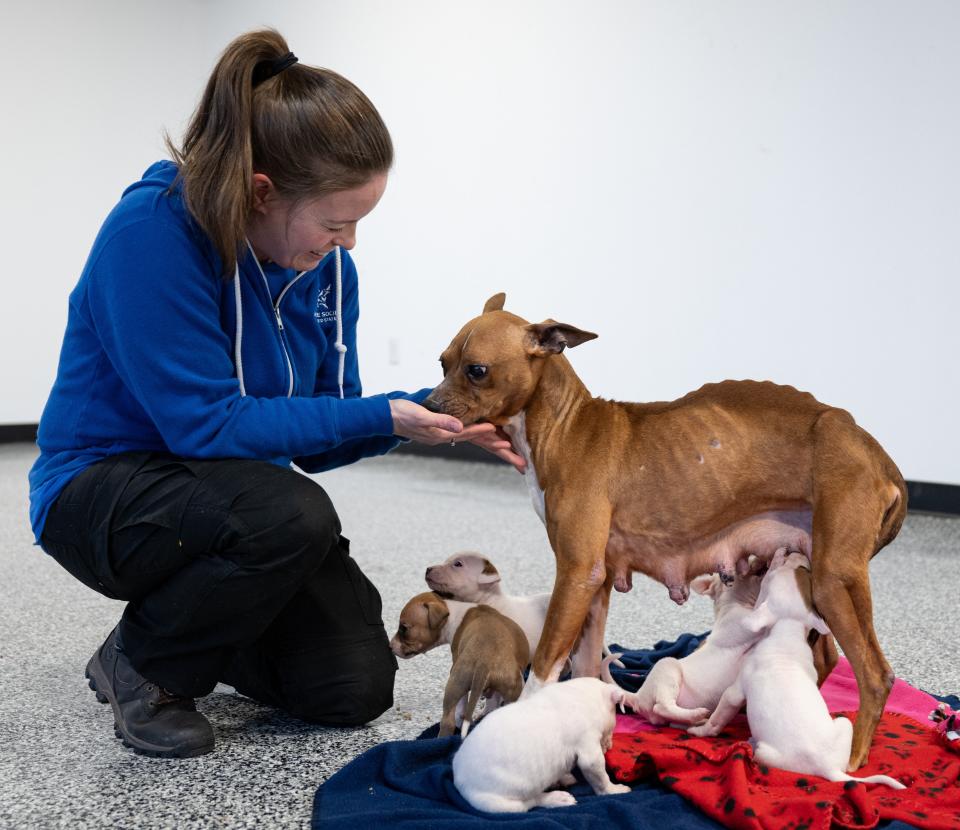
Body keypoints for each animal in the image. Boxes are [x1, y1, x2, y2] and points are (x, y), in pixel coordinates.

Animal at [388, 596, 528, 736]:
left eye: (403, 628)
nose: (390, 646)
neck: (451, 615)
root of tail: (484, 661)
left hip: (455, 685)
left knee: (448, 721)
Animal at [452, 684, 632, 812]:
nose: (609, 746)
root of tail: (457, 776)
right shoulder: (590, 755)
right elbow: (602, 780)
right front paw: (614, 790)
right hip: (501, 803)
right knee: (532, 801)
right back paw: (557, 798)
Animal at [632, 560, 764, 728]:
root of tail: (637, 697)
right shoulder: (745, 620)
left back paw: (698, 720)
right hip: (666, 670)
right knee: (662, 706)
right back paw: (697, 714)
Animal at [688, 548, 900, 788]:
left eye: (775, 570)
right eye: (803, 572)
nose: (795, 552)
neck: (788, 631)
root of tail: (828, 769)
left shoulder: (736, 691)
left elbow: (717, 718)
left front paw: (699, 729)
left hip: (765, 752)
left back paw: (750, 741)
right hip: (844, 723)